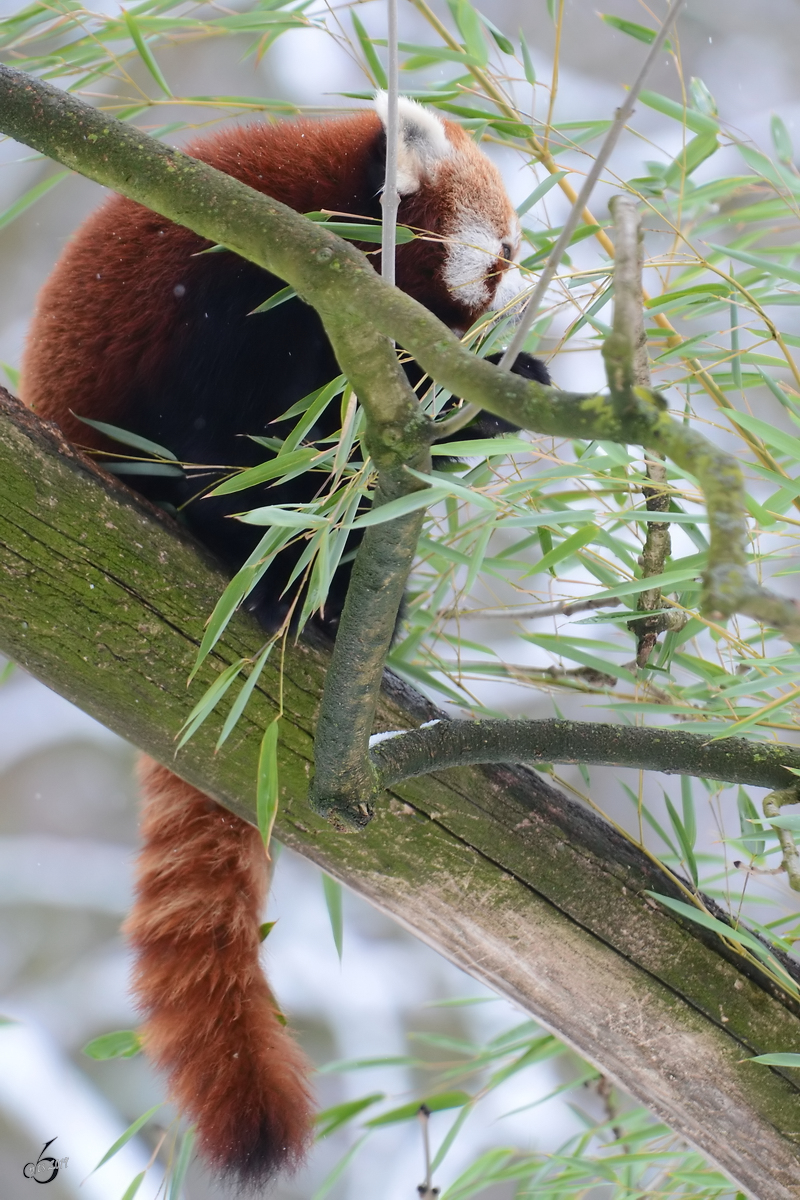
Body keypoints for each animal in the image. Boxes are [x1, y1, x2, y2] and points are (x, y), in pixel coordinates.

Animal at [23, 98, 551, 1185]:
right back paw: (267, 573)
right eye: (507, 249)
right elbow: (248, 430)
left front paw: (489, 392)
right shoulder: (248, 279)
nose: (522, 297)